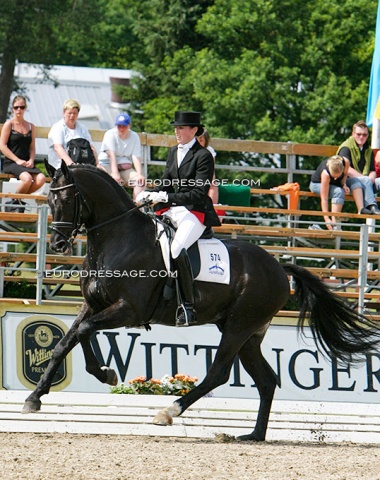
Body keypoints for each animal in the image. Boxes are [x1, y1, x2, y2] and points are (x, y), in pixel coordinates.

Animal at [21, 163, 380, 440]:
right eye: (49, 198)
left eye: (67, 198)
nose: (58, 244)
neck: (116, 239)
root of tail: (279, 267)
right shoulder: (92, 306)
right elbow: (65, 342)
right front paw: (35, 397)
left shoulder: (128, 310)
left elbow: (84, 334)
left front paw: (105, 374)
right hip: (249, 334)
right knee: (266, 380)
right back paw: (253, 435)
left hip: (238, 326)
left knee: (219, 372)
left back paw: (168, 411)